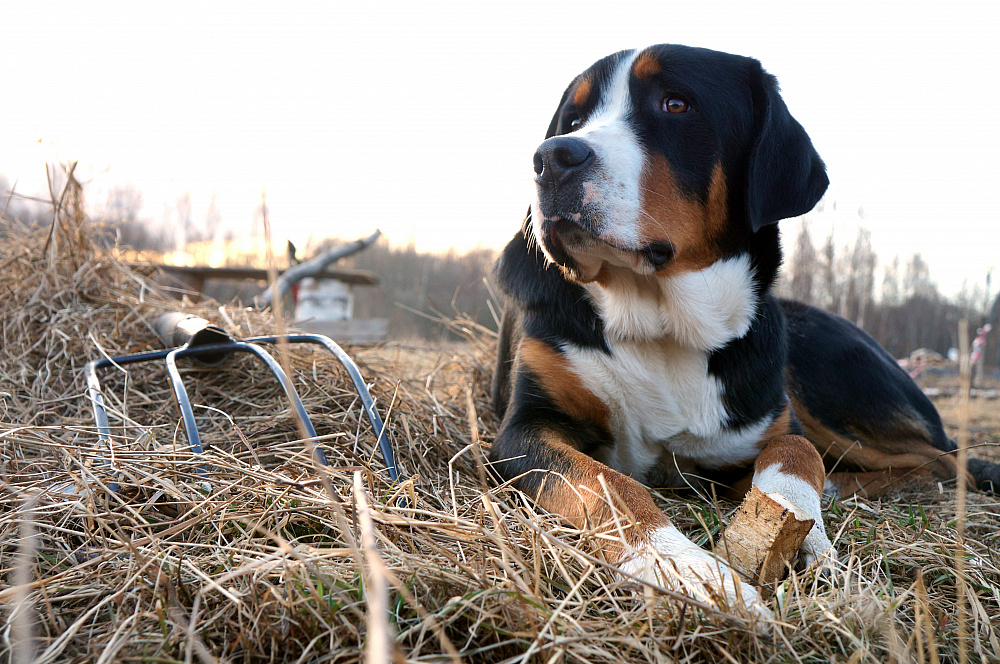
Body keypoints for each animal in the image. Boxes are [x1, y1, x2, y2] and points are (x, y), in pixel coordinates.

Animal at [492, 45, 1000, 616]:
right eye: (574, 120)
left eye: (676, 104)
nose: (551, 157)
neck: (662, 326)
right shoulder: (526, 430)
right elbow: (608, 483)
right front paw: (683, 567)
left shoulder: (772, 426)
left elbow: (796, 455)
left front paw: (812, 540)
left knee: (946, 462)